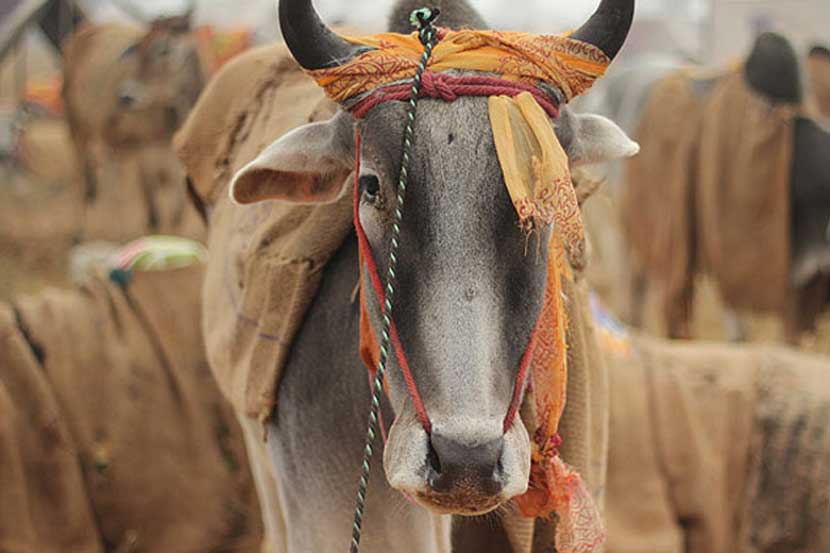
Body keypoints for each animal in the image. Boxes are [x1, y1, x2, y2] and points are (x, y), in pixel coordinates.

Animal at [61, 8, 205, 202]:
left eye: (163, 49)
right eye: (139, 47)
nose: (124, 96)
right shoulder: (145, 154)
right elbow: (152, 207)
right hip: (78, 127)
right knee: (85, 173)